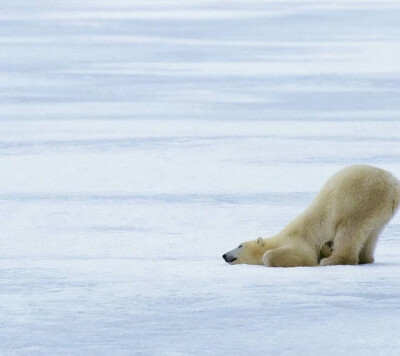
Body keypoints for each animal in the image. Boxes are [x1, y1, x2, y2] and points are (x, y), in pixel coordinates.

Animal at [222, 165, 400, 266]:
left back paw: (332, 260)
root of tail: (393, 185)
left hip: (360, 199)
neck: (279, 239)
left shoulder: (299, 241)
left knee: (349, 229)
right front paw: (327, 248)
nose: (224, 254)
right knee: (372, 233)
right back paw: (364, 258)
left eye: (240, 245)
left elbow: (301, 257)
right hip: (379, 209)